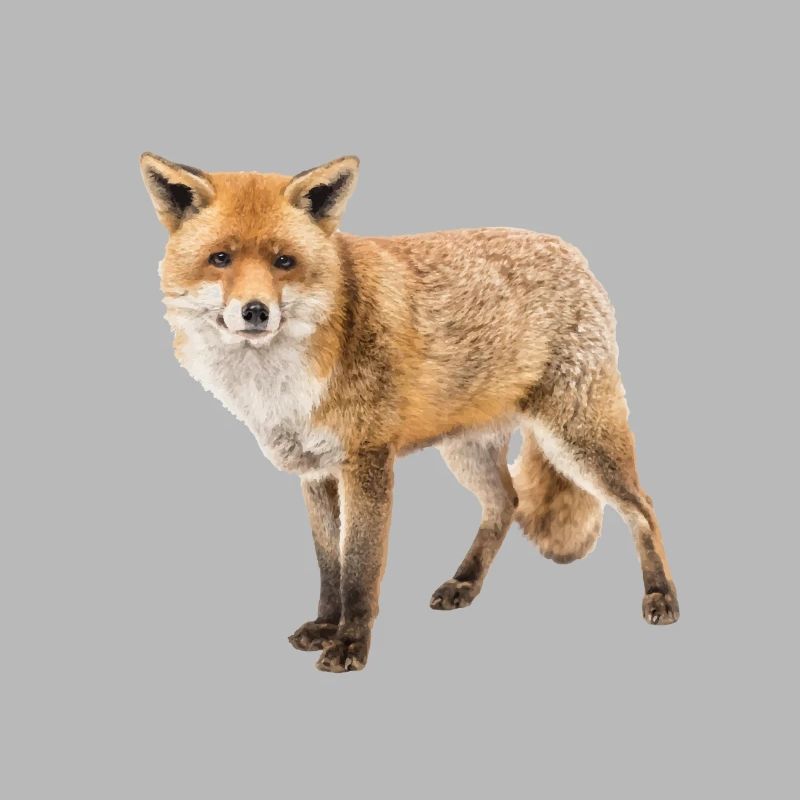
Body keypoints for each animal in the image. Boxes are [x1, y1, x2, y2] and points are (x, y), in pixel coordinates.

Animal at [140, 152, 679, 673]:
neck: (284, 380)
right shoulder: (315, 471)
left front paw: (350, 644)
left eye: (283, 262)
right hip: (469, 451)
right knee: (507, 503)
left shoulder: (368, 460)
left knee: (642, 506)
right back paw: (464, 583)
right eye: (220, 259)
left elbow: (359, 567)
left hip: (577, 440)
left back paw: (661, 595)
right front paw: (325, 625)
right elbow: (329, 564)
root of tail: (569, 249)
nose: (255, 311)